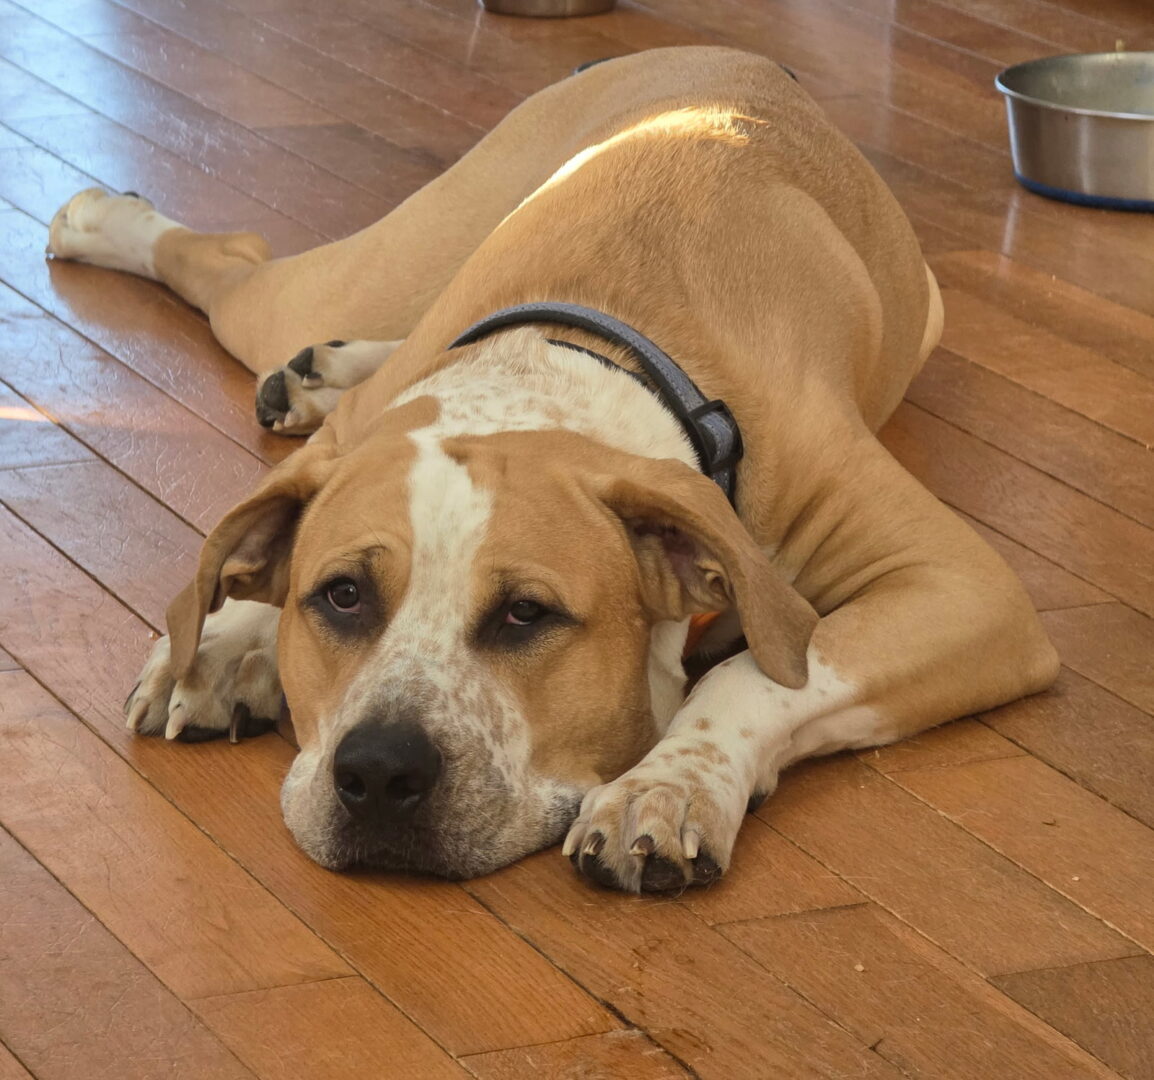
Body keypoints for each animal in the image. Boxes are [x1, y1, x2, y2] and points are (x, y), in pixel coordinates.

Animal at [47, 47, 1059, 892]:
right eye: (341, 597)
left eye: (526, 615)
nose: (377, 770)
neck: (579, 357)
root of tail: (735, 54)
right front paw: (227, 636)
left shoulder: (965, 586)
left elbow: (770, 669)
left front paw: (670, 785)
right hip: (385, 267)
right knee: (242, 270)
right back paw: (117, 234)